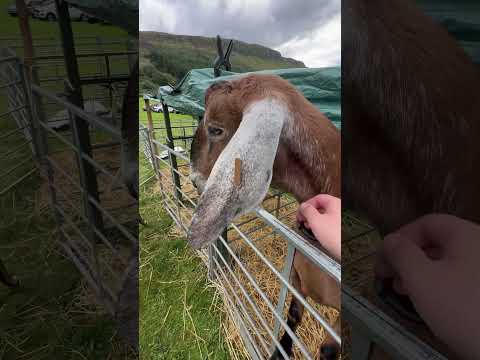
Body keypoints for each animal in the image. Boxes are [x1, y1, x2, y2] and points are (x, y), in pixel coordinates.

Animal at [186, 74, 340, 358]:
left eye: (215, 129)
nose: (193, 179)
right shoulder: (296, 277)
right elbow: (292, 316)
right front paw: (280, 351)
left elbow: (327, 349)